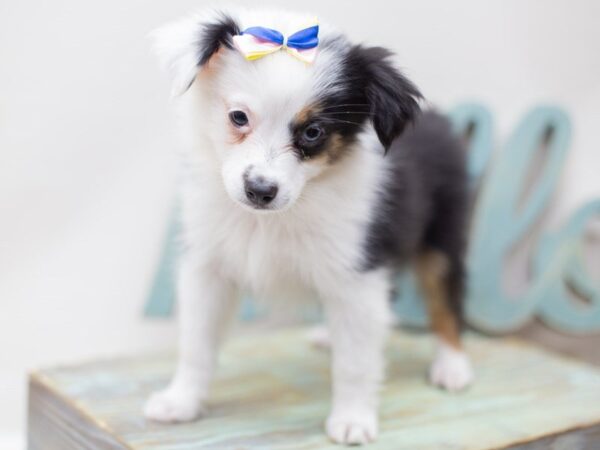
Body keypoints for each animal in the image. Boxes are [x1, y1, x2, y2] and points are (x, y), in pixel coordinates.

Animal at [144, 7, 474, 446]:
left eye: (313, 132)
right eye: (238, 117)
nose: (260, 190)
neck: (269, 219)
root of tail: (439, 119)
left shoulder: (357, 273)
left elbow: (356, 362)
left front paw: (353, 419)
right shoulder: (207, 265)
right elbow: (196, 342)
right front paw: (181, 401)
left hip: (442, 234)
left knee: (445, 298)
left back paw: (452, 365)